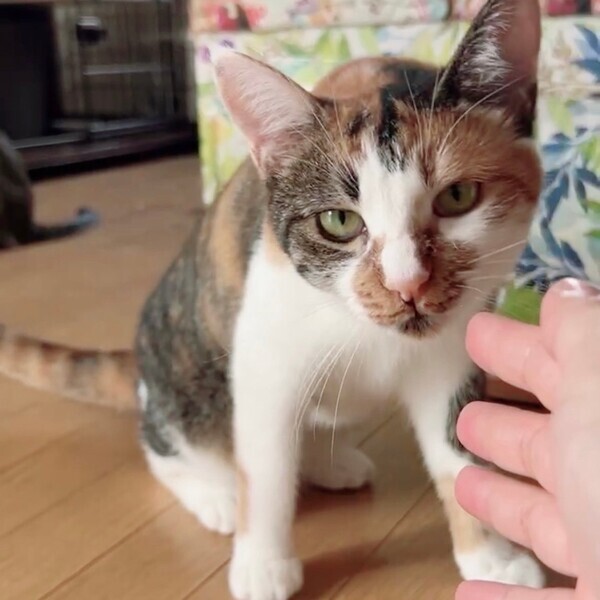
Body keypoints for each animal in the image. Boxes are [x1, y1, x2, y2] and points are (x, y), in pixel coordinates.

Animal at [0, 0, 545, 598]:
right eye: (338, 221)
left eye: (458, 196)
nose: (408, 285)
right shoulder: (264, 352)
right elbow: (264, 468)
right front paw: (262, 562)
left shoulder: (453, 350)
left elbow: (459, 450)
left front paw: (494, 559)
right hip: (189, 382)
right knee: (171, 441)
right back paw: (213, 491)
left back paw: (331, 464)